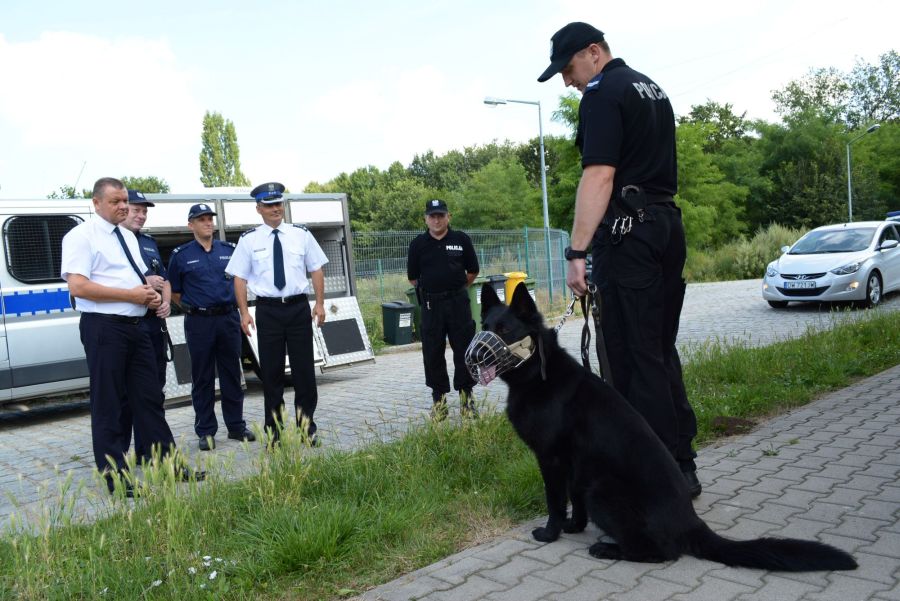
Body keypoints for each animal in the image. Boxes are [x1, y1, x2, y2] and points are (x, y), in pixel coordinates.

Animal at [474, 284, 856, 568]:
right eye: (484, 328)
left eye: (504, 331)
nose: (474, 356)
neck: (539, 373)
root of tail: (692, 523)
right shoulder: (573, 466)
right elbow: (573, 502)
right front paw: (574, 526)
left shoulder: (551, 460)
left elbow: (554, 501)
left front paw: (550, 532)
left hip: (602, 492)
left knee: (661, 552)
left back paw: (609, 549)